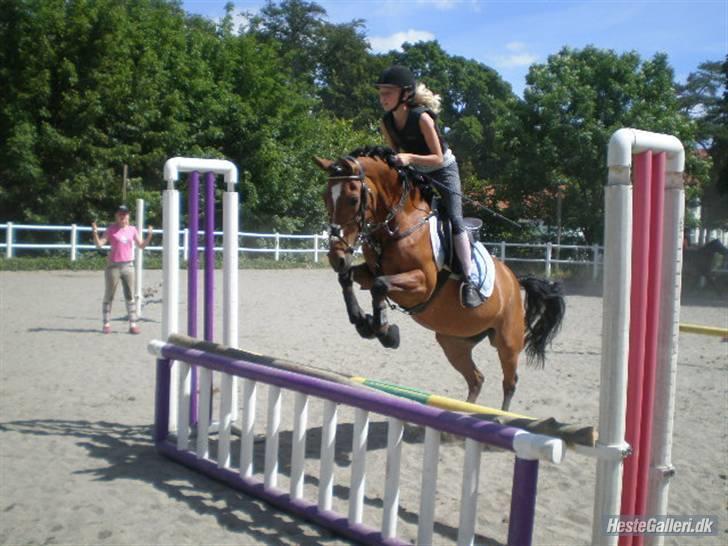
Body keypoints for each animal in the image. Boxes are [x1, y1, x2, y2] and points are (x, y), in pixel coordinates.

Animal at [312, 147, 564, 410]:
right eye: (325, 197)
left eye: (352, 199)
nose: (336, 257)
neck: (399, 224)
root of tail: (515, 281)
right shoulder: (370, 273)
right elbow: (349, 278)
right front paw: (362, 320)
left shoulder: (423, 284)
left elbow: (380, 287)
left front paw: (385, 332)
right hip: (453, 341)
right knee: (476, 379)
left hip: (508, 341)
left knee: (509, 382)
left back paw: (498, 415)